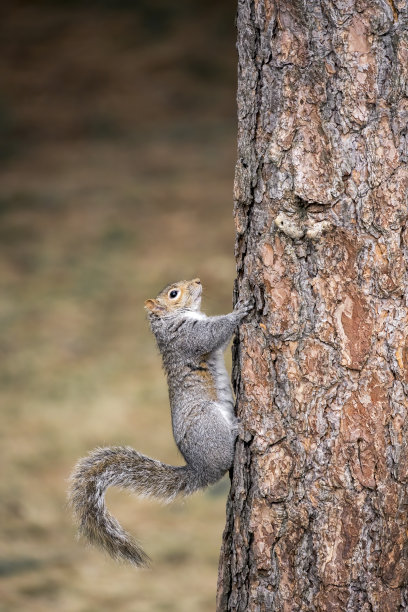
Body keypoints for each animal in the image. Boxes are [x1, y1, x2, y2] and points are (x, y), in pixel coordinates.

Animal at [69, 280, 252, 568]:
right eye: (173, 293)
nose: (198, 281)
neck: (167, 322)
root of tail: (201, 469)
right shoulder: (187, 337)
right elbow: (212, 333)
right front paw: (239, 310)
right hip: (208, 420)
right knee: (227, 453)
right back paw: (239, 430)